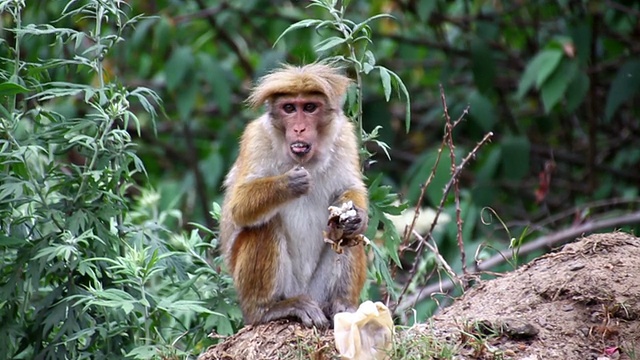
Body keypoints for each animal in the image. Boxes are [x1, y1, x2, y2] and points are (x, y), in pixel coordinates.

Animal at [220, 63, 370, 328]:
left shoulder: (344, 136)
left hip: (318, 291)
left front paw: (357, 217)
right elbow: (238, 207)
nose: (299, 128)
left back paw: (343, 306)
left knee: (349, 237)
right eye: (289, 108)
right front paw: (288, 184)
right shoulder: (257, 137)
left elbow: (350, 189)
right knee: (264, 224)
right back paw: (268, 310)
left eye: (309, 107)